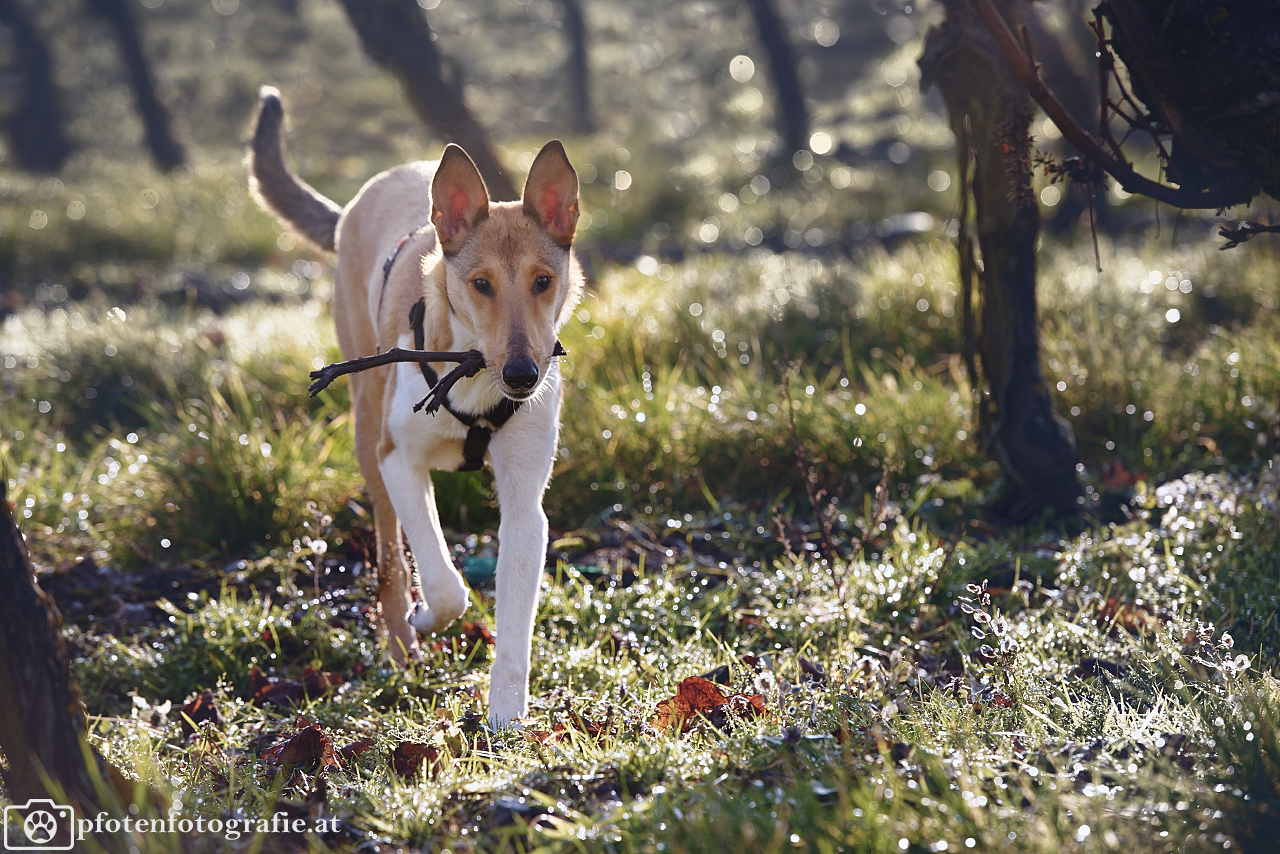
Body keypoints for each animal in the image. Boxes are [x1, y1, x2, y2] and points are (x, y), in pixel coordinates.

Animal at [249, 88, 581, 727]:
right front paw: (427, 615)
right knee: (390, 559)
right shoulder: (396, 458)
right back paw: (403, 642)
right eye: (480, 284)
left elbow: (515, 616)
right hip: (365, 435)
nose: (523, 375)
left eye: (542, 281)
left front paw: (506, 717)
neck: (474, 377)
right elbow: (445, 583)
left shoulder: (525, 501)